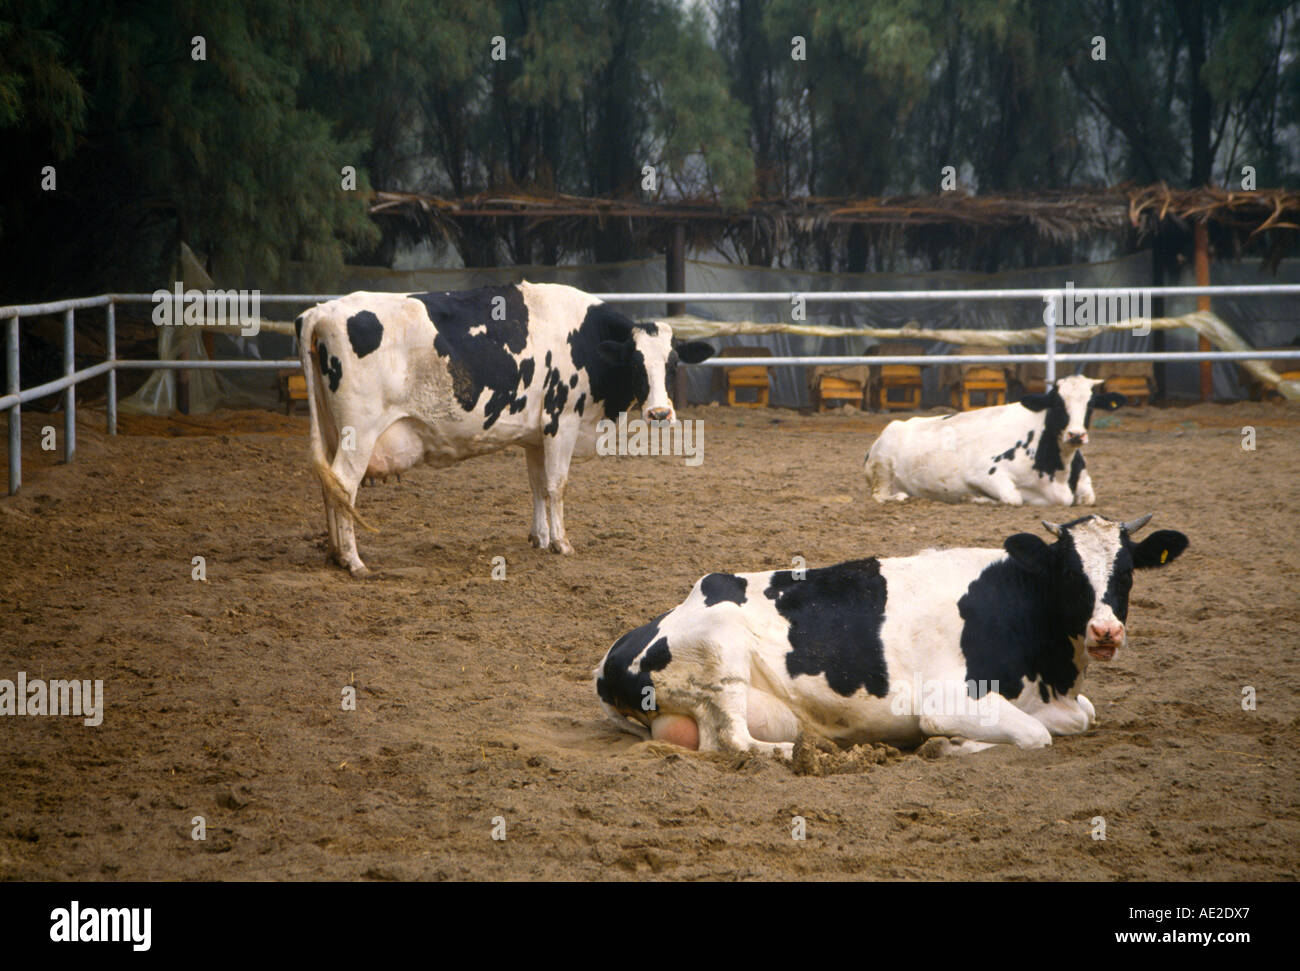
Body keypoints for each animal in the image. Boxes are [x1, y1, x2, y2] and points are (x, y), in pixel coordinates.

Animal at [297, 280, 712, 574]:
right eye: (636, 363)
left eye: (673, 363)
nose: (660, 413)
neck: (585, 339)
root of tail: (324, 310)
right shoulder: (562, 422)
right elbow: (557, 485)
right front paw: (561, 543)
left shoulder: (536, 435)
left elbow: (537, 486)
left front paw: (540, 538)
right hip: (359, 432)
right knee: (344, 484)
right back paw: (354, 562)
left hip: (334, 431)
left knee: (328, 484)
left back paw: (336, 554)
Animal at [863, 374, 1128, 509]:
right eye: (1057, 403)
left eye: (1091, 405)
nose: (1075, 435)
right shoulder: (983, 474)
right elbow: (1014, 498)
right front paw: (972, 498)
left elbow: (1089, 497)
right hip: (882, 470)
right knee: (880, 495)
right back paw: (900, 497)